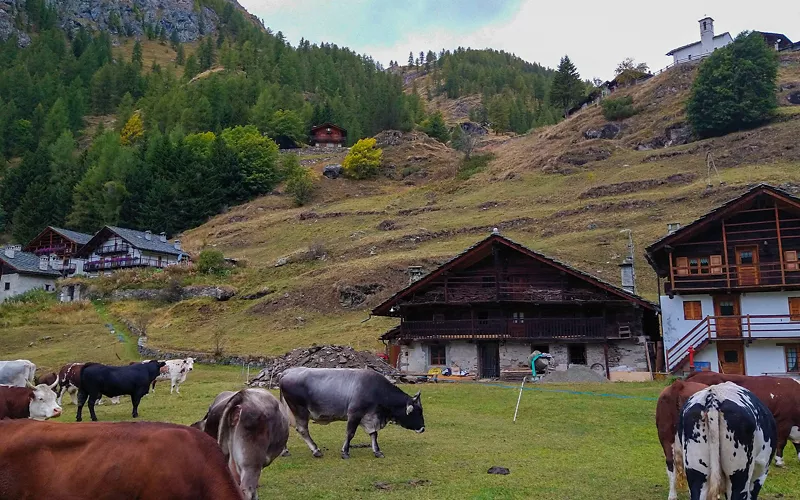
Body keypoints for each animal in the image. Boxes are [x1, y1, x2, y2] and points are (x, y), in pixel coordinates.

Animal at [278, 366, 424, 458]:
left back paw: (284, 450)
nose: (423, 428)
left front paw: (377, 451)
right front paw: (345, 452)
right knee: (303, 429)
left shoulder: (370, 417)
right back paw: (316, 450)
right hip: (300, 409)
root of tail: (287, 372)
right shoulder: (354, 414)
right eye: (418, 411)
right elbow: (350, 433)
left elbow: (373, 434)